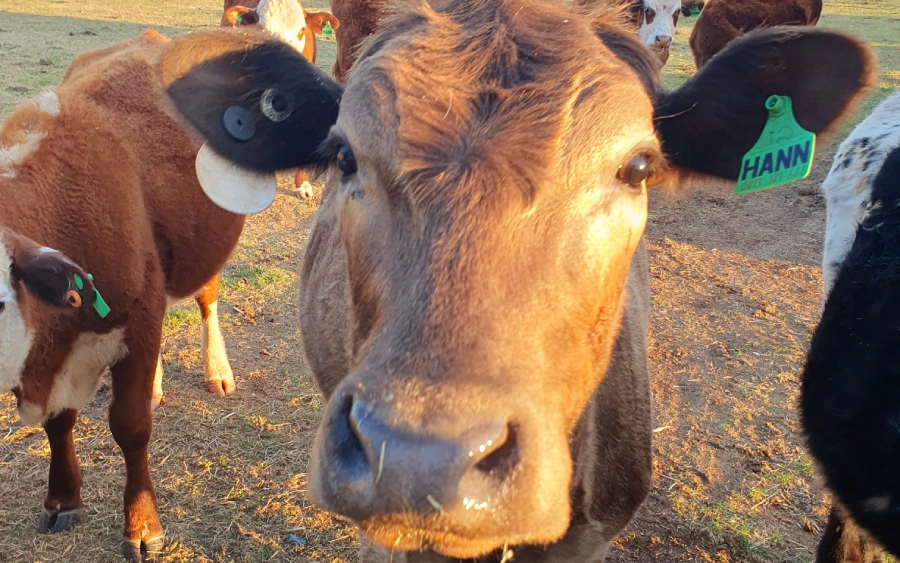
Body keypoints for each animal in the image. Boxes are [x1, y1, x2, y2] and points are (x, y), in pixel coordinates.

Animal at [0, 29, 249, 561]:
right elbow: (59, 424)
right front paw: (63, 499)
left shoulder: (137, 316)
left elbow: (131, 427)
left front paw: (141, 523)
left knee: (206, 298)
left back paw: (217, 369)